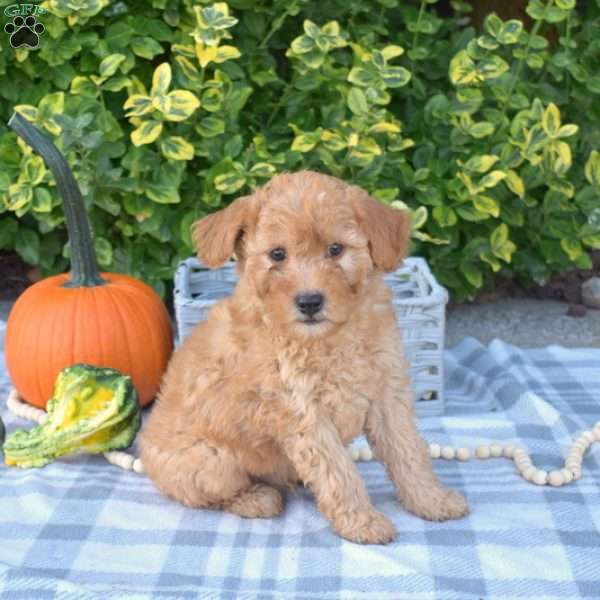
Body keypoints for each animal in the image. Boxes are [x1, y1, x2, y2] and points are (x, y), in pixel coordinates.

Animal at [141, 170, 468, 544]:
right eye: (277, 254)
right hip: (211, 460)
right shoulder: (304, 415)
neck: (329, 339)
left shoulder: (387, 394)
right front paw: (363, 522)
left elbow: (410, 453)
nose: (310, 302)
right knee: (205, 494)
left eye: (336, 249)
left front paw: (433, 500)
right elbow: (339, 475)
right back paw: (257, 498)